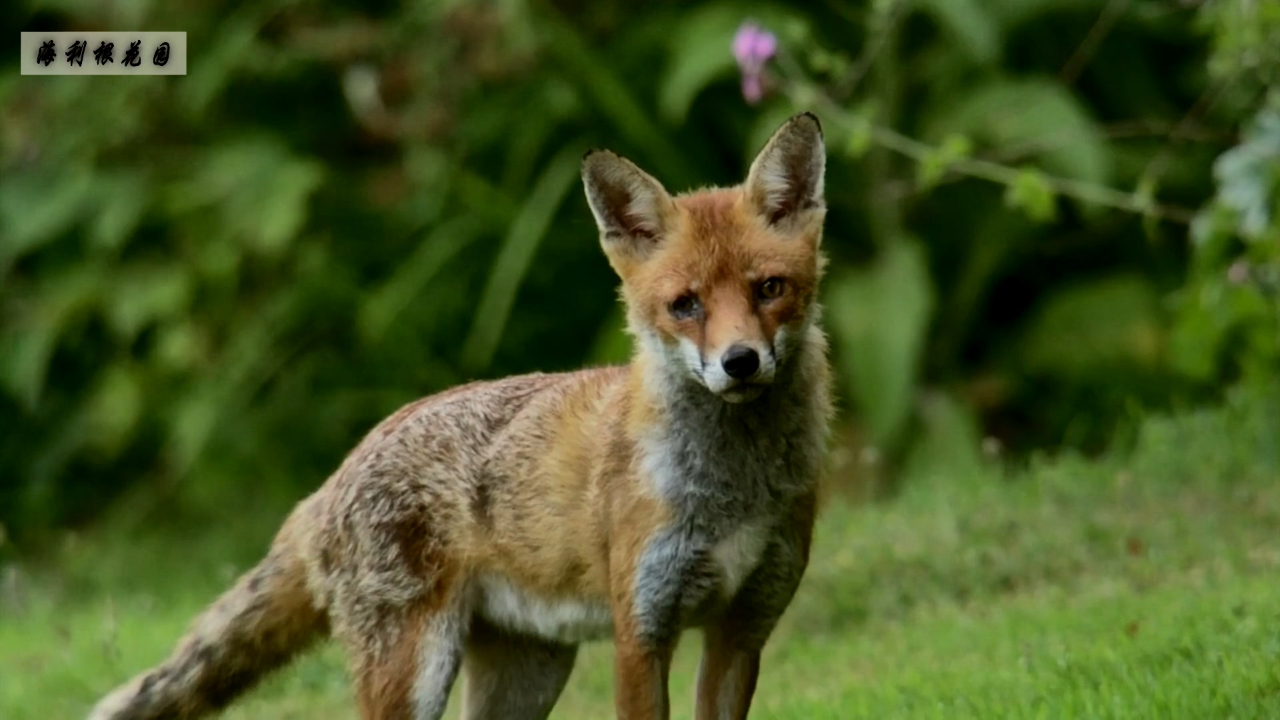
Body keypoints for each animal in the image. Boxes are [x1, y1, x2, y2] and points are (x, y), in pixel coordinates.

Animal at [87, 112, 829, 717]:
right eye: (685, 305)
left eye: (769, 289)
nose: (740, 362)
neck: (733, 490)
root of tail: (330, 482)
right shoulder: (642, 631)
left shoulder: (743, 629)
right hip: (415, 672)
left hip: (527, 673)